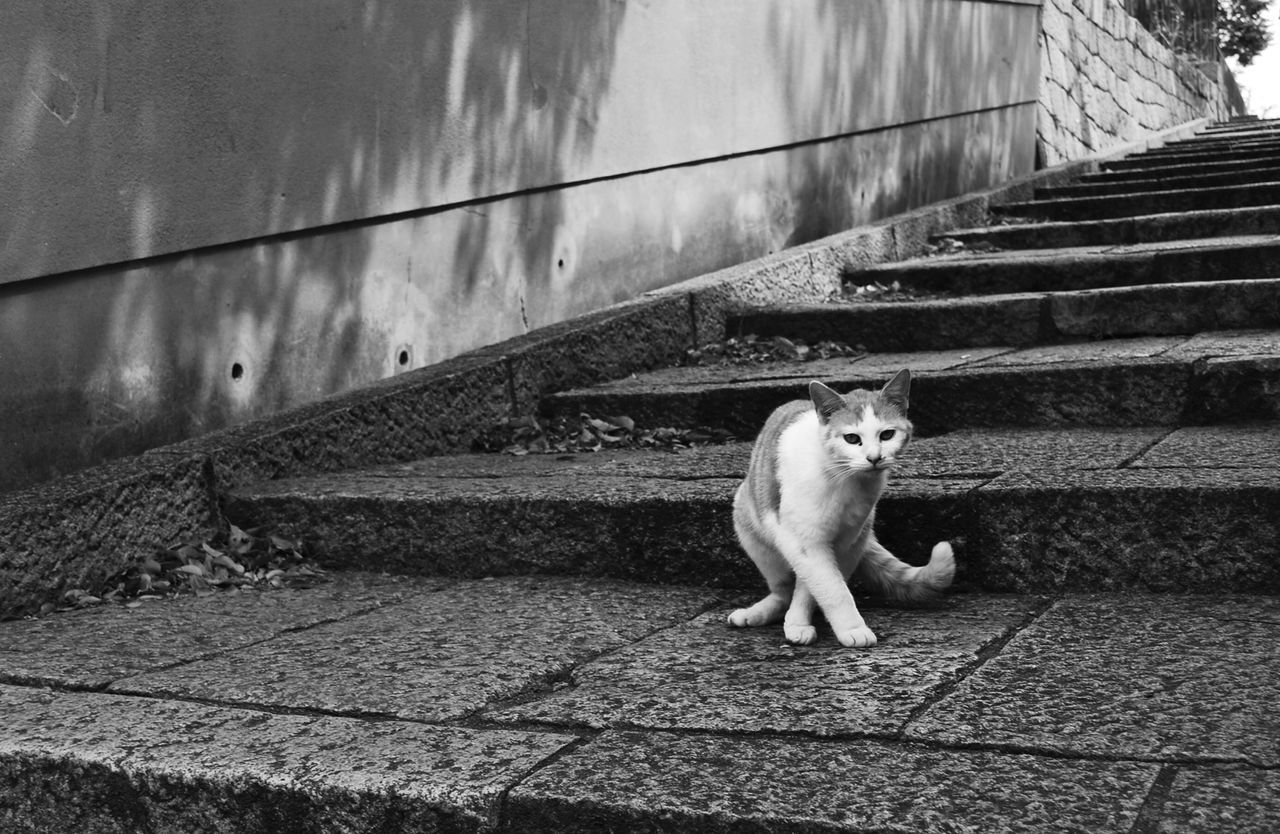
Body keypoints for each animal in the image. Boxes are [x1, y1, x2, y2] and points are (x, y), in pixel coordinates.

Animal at [727, 368, 957, 647]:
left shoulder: (843, 544)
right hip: (755, 535)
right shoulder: (804, 542)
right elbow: (833, 590)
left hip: (857, 540)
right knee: (781, 591)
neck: (846, 480)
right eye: (852, 439)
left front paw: (801, 620)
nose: (874, 458)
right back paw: (758, 613)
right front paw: (851, 628)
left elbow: (814, 588)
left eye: (886, 435)